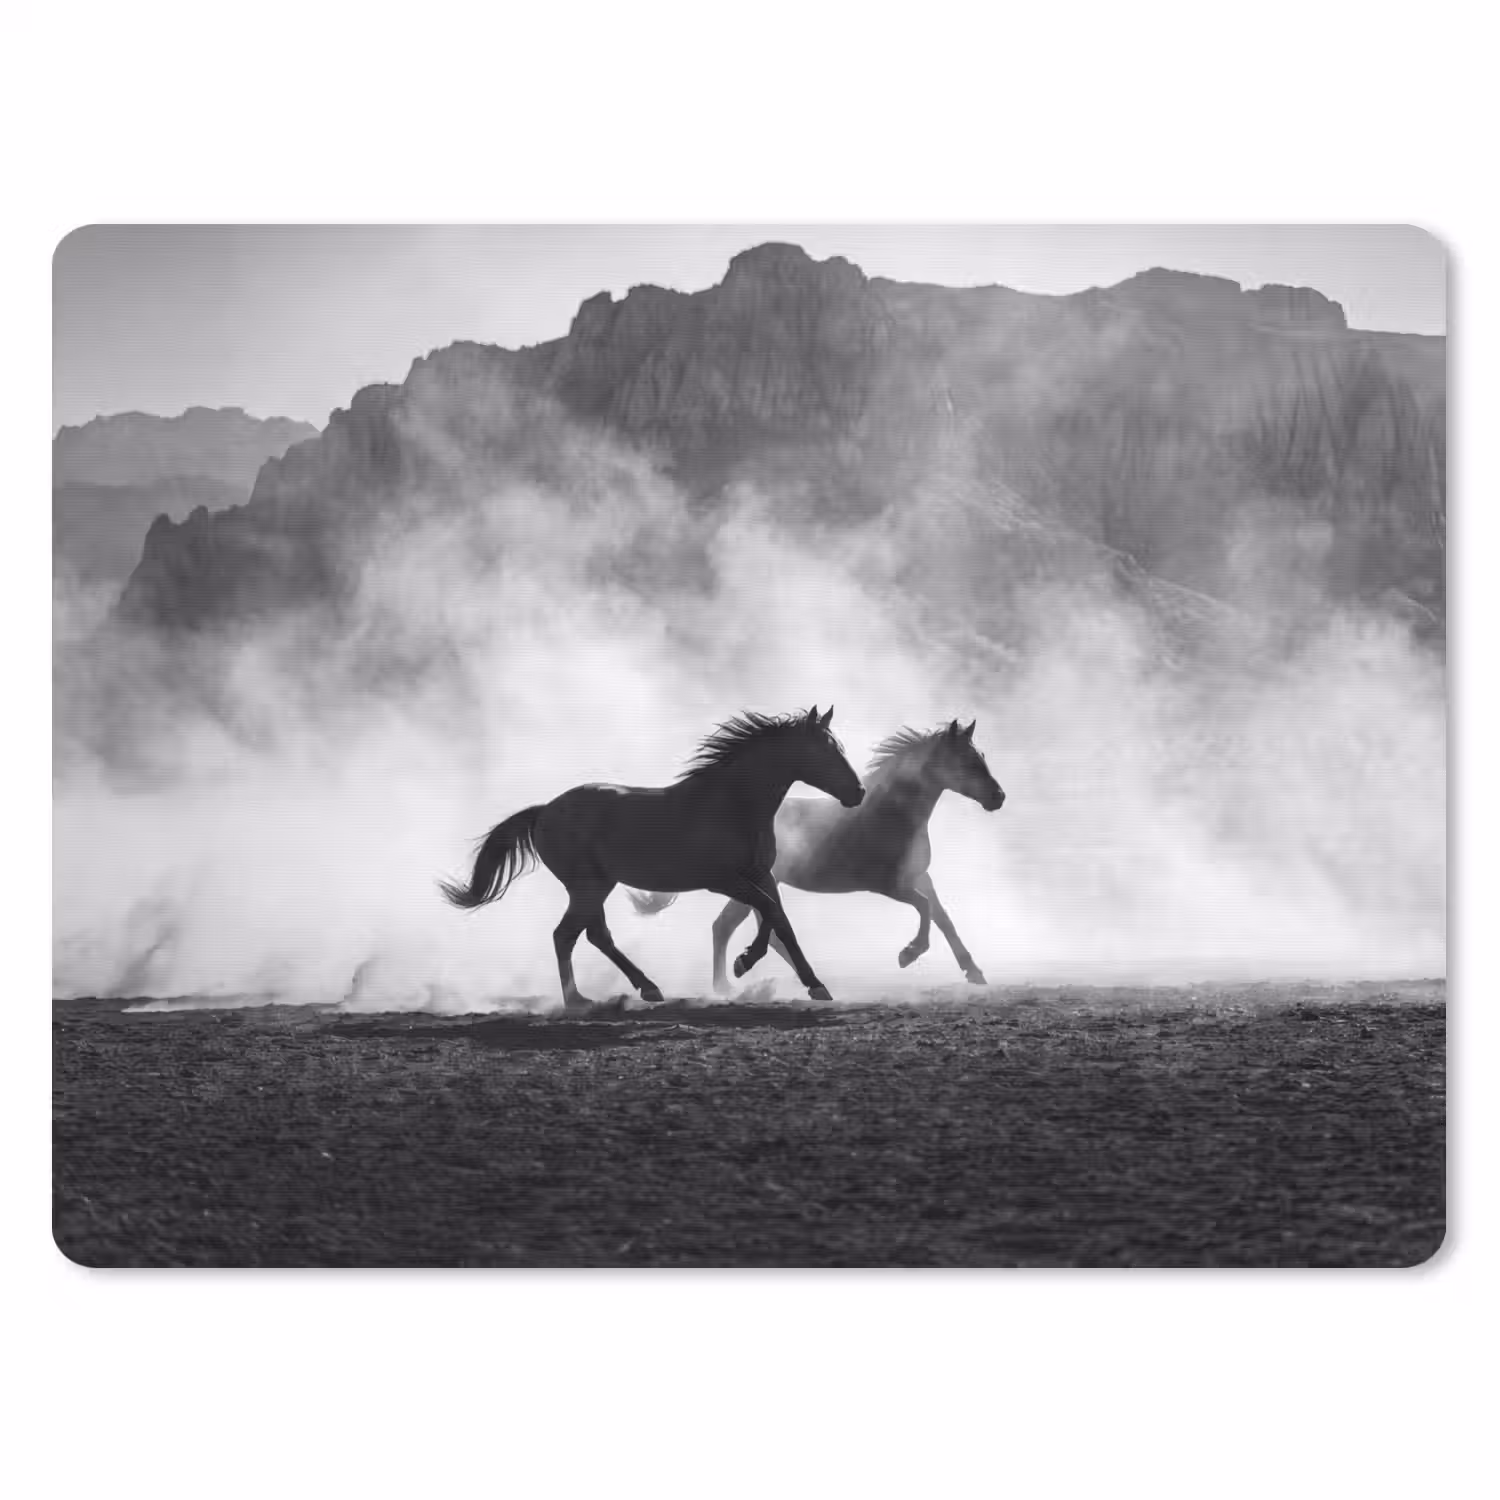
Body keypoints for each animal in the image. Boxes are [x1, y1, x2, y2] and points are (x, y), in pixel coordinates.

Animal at [439, 706, 865, 1013]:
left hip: (598, 886)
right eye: (826, 750)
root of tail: (544, 811)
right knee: (567, 935)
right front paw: (744, 963)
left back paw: (645, 988)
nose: (858, 793)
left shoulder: (761, 874)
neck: (733, 804)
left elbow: (780, 920)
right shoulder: (722, 879)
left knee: (593, 935)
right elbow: (768, 912)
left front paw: (814, 984)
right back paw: (580, 1000)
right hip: (587, 886)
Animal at [630, 719, 1003, 990]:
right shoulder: (887, 885)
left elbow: (943, 918)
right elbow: (925, 909)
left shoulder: (919, 877)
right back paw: (730, 983)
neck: (891, 815)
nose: (998, 797)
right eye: (967, 761)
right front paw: (907, 955)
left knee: (749, 928)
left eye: (982, 757)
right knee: (728, 927)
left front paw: (974, 972)